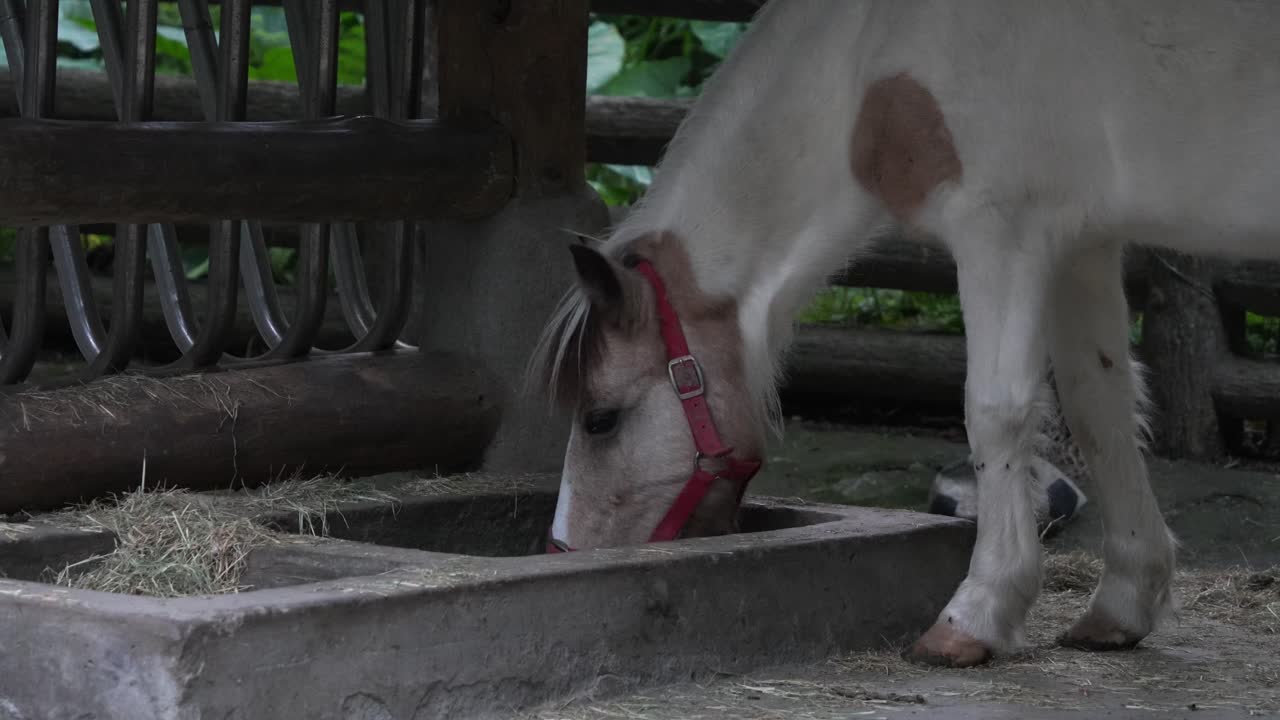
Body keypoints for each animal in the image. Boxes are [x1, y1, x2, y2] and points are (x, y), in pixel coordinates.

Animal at [529, 0, 1280, 667]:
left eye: (601, 419)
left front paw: (975, 615)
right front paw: (1124, 602)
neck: (871, 51)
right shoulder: (1082, 245)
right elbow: (1100, 409)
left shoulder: (1001, 230)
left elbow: (996, 412)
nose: (565, 553)